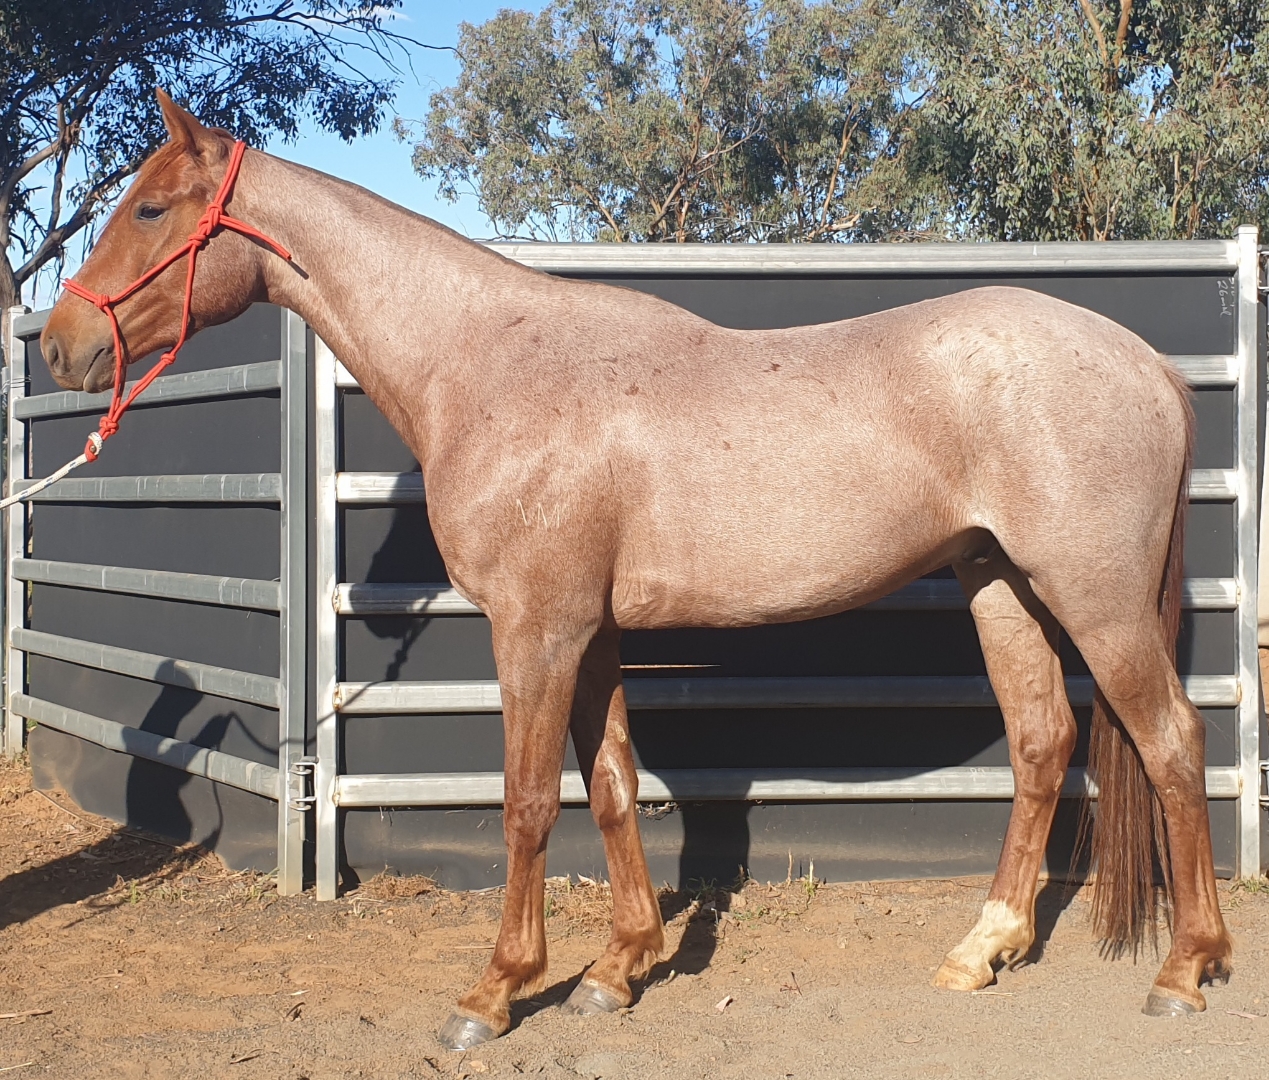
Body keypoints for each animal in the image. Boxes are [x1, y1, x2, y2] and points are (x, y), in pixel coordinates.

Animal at [39, 91, 1231, 1049]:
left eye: (150, 211)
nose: (58, 345)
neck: (492, 363)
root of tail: (1146, 366)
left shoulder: (537, 630)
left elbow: (527, 803)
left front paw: (496, 991)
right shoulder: (593, 632)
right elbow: (610, 785)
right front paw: (620, 967)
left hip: (1096, 600)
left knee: (1173, 740)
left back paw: (1186, 968)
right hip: (1002, 588)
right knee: (1041, 744)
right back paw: (983, 946)